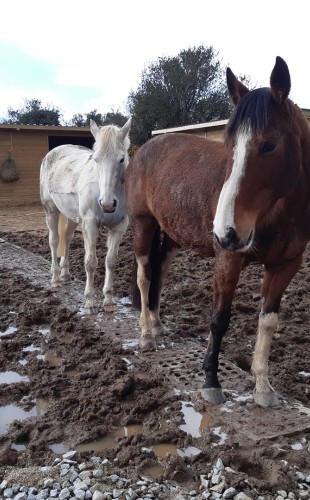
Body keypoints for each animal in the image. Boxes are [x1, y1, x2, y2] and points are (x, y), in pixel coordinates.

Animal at [39, 118, 131, 312]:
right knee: (54, 240)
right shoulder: (90, 225)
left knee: (66, 238)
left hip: (72, 217)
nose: (107, 204)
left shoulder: (119, 227)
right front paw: (89, 301)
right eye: (95, 159)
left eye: (121, 159)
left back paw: (65, 274)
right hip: (51, 211)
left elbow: (111, 261)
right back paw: (55, 278)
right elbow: (90, 262)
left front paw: (109, 299)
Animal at [124, 55, 310, 406]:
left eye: (270, 145)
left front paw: (262, 386)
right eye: (228, 145)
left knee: (159, 271)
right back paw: (145, 335)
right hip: (143, 223)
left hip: (171, 235)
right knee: (144, 275)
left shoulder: (286, 265)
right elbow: (219, 319)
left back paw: (156, 324)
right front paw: (211, 380)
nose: (224, 231)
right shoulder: (228, 259)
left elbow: (268, 321)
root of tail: (143, 149)